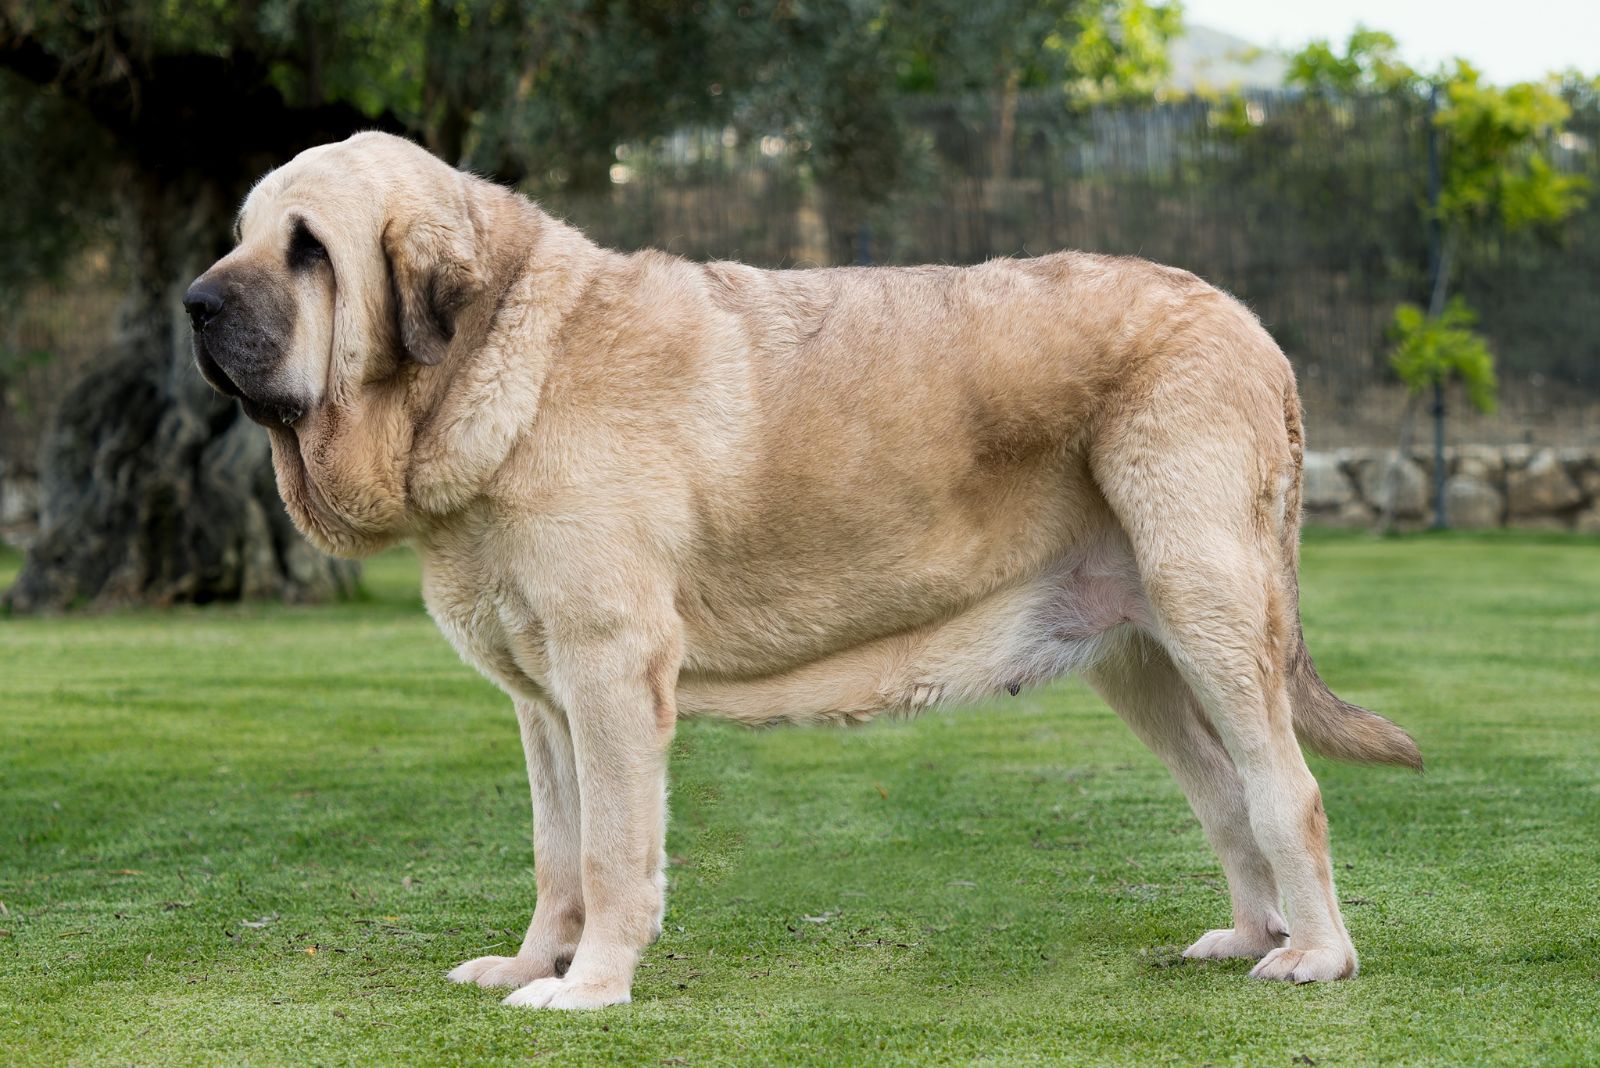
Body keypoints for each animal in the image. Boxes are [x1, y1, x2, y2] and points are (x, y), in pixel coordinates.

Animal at [181, 131, 1420, 1010]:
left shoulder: (609, 672)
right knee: (1223, 794)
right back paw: (1249, 937)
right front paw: (533, 963)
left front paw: (589, 988)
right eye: (238, 236)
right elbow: (556, 853)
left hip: (1208, 609)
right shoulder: (544, 701)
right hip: (1142, 655)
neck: (501, 361)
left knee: (1284, 789)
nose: (194, 301)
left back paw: (1314, 958)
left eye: (307, 247)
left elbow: (614, 850)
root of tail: (1248, 322)